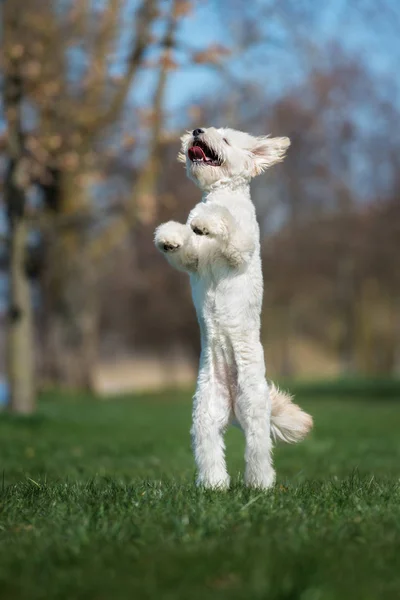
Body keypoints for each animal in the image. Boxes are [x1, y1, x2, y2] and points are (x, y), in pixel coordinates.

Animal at [153, 125, 312, 488]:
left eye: (224, 139)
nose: (197, 130)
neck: (221, 194)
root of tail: (233, 411)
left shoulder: (241, 243)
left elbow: (226, 224)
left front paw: (206, 221)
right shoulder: (193, 261)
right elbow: (184, 246)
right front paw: (170, 236)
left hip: (254, 409)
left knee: (258, 452)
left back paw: (260, 485)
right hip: (204, 414)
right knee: (209, 450)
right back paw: (213, 485)